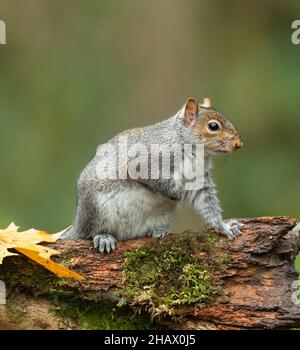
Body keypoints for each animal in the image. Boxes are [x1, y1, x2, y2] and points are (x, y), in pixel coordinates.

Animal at [62, 97, 244, 253]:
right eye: (213, 126)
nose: (239, 144)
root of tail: (78, 223)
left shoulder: (198, 178)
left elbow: (208, 204)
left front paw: (225, 227)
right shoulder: (143, 161)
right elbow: (155, 180)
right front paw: (177, 194)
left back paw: (158, 231)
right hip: (97, 209)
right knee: (90, 232)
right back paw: (103, 237)